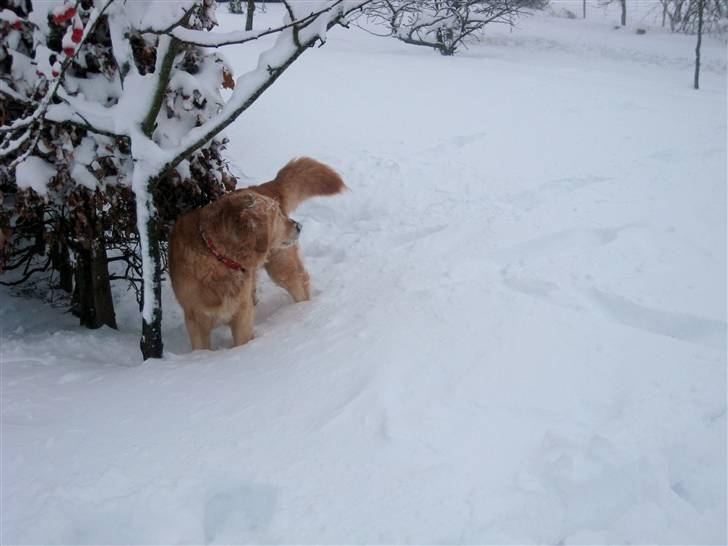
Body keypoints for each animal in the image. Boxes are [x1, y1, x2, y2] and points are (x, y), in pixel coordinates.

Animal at [169, 156, 346, 348]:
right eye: (276, 216)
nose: (299, 226)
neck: (217, 257)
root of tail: (261, 186)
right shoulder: (195, 319)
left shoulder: (242, 314)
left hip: (281, 266)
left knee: (300, 285)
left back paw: (303, 310)